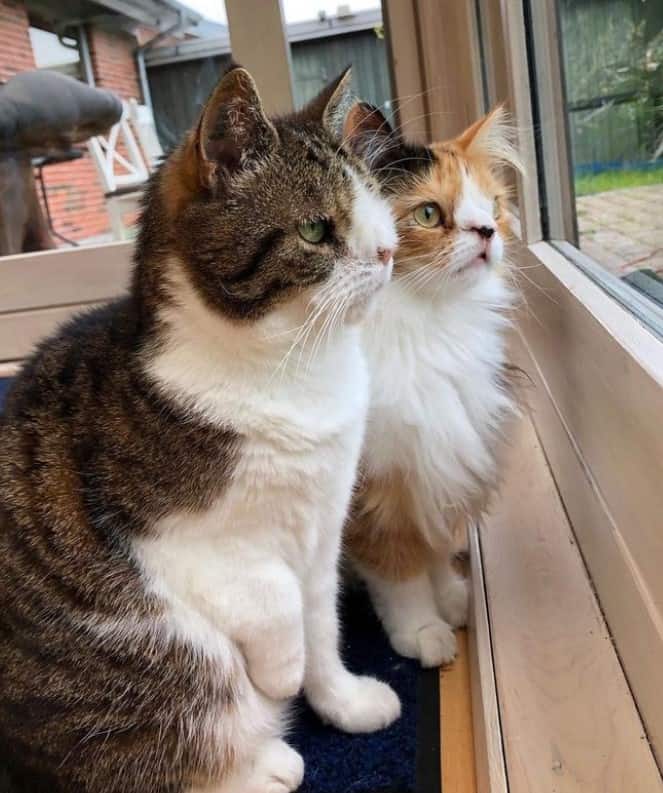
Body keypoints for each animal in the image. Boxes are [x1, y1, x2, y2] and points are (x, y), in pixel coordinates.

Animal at [0, 66, 400, 792]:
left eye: (377, 210)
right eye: (316, 229)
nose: (388, 250)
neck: (294, 367)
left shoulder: (322, 528)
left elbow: (322, 626)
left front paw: (345, 701)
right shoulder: (173, 544)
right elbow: (275, 597)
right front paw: (282, 674)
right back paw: (265, 762)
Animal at [342, 102, 524, 664]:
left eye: (493, 205)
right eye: (428, 214)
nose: (487, 231)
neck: (427, 326)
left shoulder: (444, 463)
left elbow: (436, 548)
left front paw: (452, 599)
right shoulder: (375, 490)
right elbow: (399, 572)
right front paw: (423, 631)